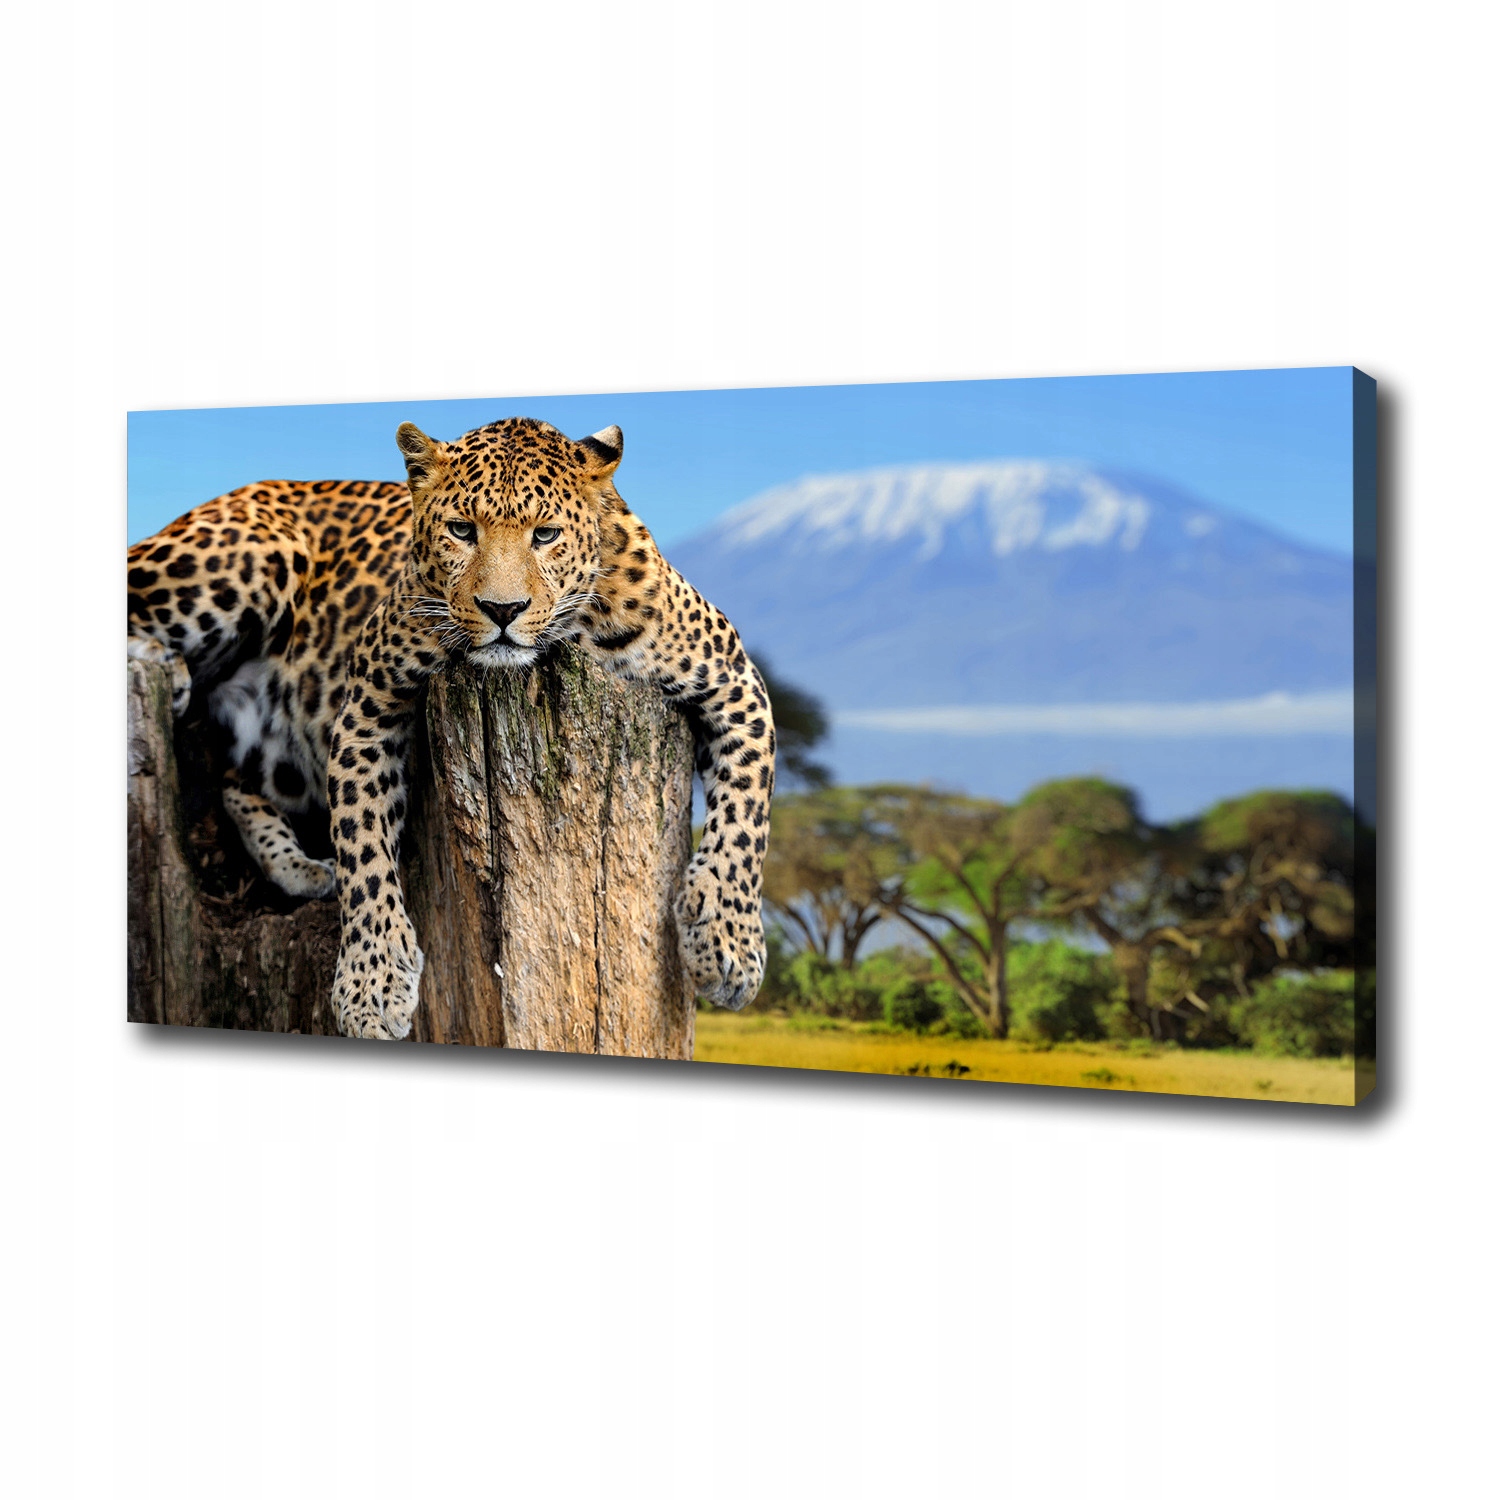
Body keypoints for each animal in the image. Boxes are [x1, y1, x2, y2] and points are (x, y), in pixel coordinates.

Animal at [126, 417, 775, 1039]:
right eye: (462, 530)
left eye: (545, 535)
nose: (503, 610)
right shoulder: (368, 701)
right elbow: (362, 842)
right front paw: (372, 986)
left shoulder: (735, 679)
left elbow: (747, 816)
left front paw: (728, 945)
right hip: (247, 557)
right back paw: (164, 667)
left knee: (237, 783)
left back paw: (303, 868)